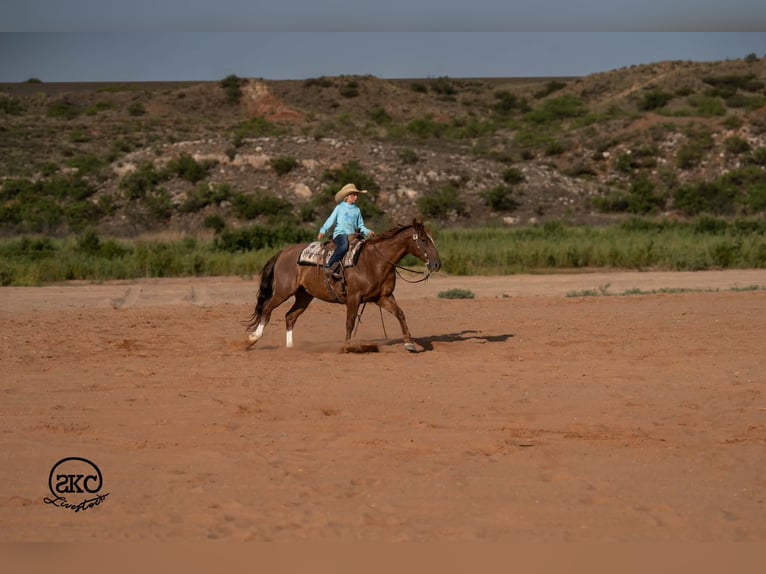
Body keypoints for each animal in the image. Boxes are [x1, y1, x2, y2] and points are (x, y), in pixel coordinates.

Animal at [244, 217, 441, 352]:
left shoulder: (382, 297)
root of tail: (283, 252)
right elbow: (350, 322)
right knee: (267, 308)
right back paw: (253, 338)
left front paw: (409, 343)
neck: (374, 261)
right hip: (283, 291)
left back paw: (291, 347)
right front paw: (347, 347)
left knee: (290, 316)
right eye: (423, 240)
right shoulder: (354, 298)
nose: (436, 264)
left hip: (304, 295)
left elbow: (400, 314)